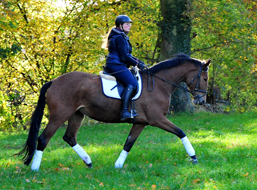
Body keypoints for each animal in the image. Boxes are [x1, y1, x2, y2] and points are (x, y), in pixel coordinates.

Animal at [17, 53, 211, 171]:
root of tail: (54, 81)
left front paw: (118, 166)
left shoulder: (141, 122)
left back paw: (88, 162)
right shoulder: (157, 119)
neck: (159, 84)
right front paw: (194, 157)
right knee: (43, 139)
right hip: (59, 116)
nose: (201, 101)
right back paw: (35, 169)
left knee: (69, 137)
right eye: (204, 78)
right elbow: (181, 132)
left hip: (77, 115)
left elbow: (128, 143)